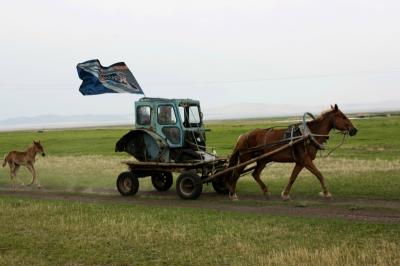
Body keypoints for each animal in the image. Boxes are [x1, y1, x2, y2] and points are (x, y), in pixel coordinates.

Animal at [227, 105, 358, 201]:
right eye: (342, 116)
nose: (354, 130)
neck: (308, 135)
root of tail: (243, 136)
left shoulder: (300, 162)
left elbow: (292, 177)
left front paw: (285, 194)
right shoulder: (305, 160)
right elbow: (319, 174)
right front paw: (326, 193)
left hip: (264, 159)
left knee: (255, 174)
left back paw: (266, 191)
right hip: (245, 158)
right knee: (236, 173)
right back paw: (233, 194)